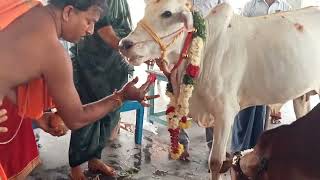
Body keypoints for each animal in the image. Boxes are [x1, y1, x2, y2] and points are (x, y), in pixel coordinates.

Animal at [119, 0, 320, 179]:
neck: (203, 50)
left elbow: (216, 162)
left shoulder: (225, 112)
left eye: (167, 13)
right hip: (302, 96)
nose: (124, 44)